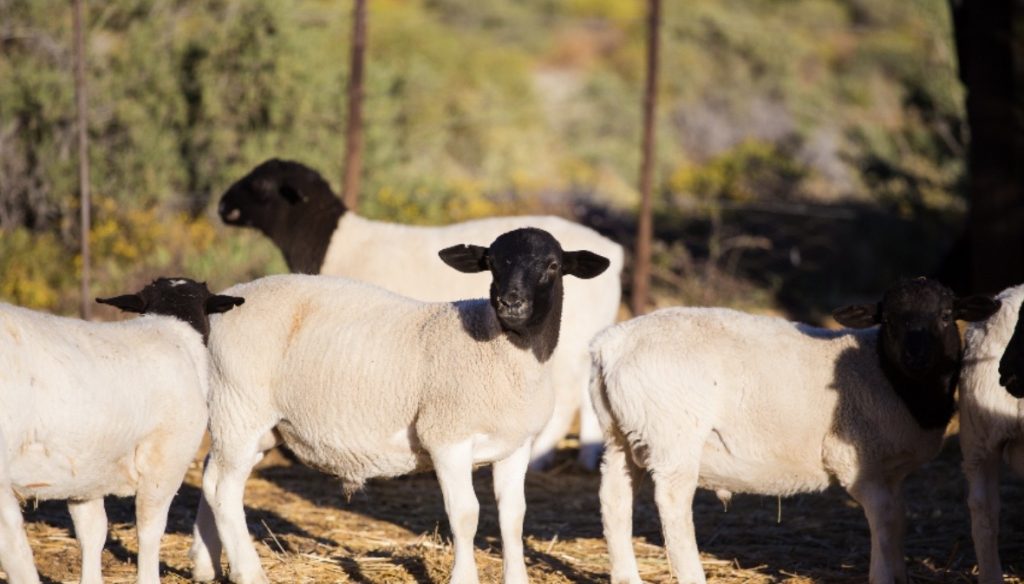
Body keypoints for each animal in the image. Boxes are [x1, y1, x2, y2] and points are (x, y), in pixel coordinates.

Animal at [0, 278, 244, 584]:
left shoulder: (87, 472)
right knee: (13, 545)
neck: (173, 329)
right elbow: (150, 529)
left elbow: (92, 532)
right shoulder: (166, 461)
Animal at [188, 227, 610, 584]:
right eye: (492, 262)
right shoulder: (446, 438)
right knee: (224, 489)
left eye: (552, 266)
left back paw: (205, 565)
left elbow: (513, 516)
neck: (502, 350)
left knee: (211, 477)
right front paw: (463, 578)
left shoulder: (517, 445)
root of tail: (223, 303)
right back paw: (248, 573)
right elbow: (465, 514)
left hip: (251, 420)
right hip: (241, 405)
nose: (511, 302)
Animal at [217, 158, 624, 470]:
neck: (331, 242)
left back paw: (541, 457)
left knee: (569, 397)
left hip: (570, 339)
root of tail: (614, 253)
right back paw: (589, 457)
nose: (221, 207)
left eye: (261, 185)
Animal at [589, 277, 998, 584]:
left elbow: (898, 521)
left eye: (946, 315)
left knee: (614, 499)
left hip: (621, 435)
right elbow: (884, 522)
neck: (888, 374)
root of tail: (611, 343)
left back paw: (626, 578)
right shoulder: (857, 462)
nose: (917, 357)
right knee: (673, 504)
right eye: (890, 320)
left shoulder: (891, 471)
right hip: (672, 436)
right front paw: (883, 577)